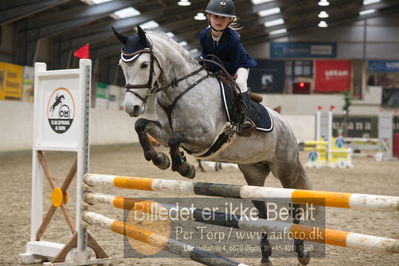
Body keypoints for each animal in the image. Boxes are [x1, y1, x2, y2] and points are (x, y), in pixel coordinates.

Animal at [112, 25, 312, 266]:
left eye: (143, 64)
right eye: (122, 65)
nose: (131, 107)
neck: (179, 90)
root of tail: (286, 125)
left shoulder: (205, 136)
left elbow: (174, 140)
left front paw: (183, 166)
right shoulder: (163, 131)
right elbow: (142, 126)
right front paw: (161, 159)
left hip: (285, 169)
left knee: (294, 205)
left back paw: (301, 253)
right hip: (253, 171)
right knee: (262, 208)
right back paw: (265, 256)